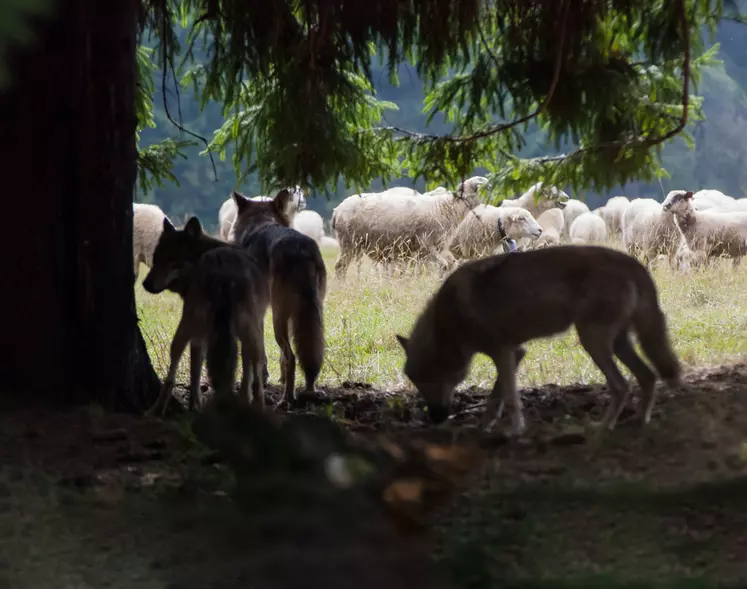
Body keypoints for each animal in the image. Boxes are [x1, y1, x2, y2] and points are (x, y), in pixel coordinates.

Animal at [142, 217, 270, 418]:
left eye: (171, 259)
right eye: (156, 259)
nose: (145, 284)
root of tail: (222, 269)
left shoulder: (200, 336)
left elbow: (196, 370)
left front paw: (195, 405)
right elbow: (248, 372)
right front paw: (244, 399)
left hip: (188, 325)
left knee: (173, 372)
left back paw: (158, 410)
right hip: (250, 334)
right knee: (257, 375)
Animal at [231, 187, 328, 404]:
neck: (260, 224)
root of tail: (302, 250)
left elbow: (256, 355)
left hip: (279, 317)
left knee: (292, 357)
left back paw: (287, 399)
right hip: (309, 315)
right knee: (307, 353)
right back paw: (310, 391)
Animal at [330, 176, 488, 280]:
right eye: (479, 187)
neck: (446, 207)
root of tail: (337, 210)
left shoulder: (422, 252)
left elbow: (425, 269)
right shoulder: (426, 244)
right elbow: (442, 265)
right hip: (348, 243)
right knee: (340, 267)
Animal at [398, 243, 684, 432]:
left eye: (428, 381)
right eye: (415, 381)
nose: (435, 418)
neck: (447, 320)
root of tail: (632, 262)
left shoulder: (503, 353)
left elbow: (511, 398)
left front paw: (515, 432)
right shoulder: (515, 353)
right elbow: (497, 397)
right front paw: (485, 426)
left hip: (593, 342)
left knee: (622, 385)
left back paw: (603, 426)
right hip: (617, 344)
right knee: (648, 377)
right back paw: (639, 421)